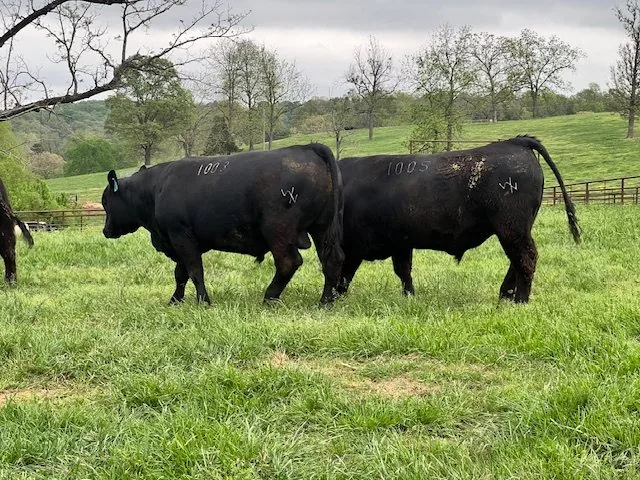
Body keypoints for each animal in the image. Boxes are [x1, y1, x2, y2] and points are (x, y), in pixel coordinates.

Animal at [101, 144, 344, 305]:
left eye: (106, 202)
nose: (105, 231)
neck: (155, 189)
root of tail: (306, 148)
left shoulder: (181, 237)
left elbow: (194, 271)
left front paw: (203, 301)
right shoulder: (181, 242)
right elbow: (181, 274)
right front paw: (175, 300)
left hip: (278, 230)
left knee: (288, 262)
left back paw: (269, 297)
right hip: (322, 228)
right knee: (331, 259)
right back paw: (325, 301)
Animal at [337, 135, 580, 303]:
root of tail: (516, 142)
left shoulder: (355, 245)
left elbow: (345, 272)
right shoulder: (401, 243)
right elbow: (404, 271)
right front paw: (409, 298)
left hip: (512, 227)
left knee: (526, 259)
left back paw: (520, 301)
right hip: (516, 230)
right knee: (517, 260)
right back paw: (505, 296)